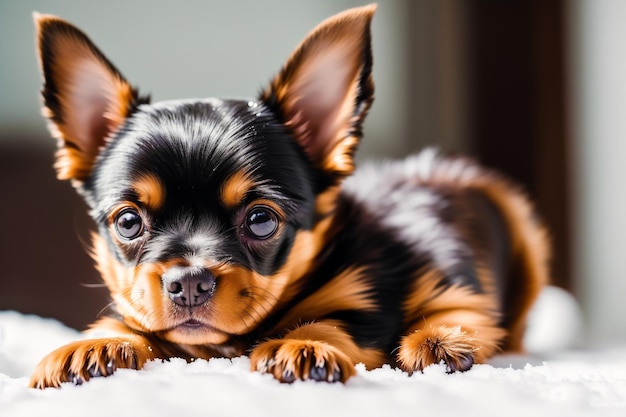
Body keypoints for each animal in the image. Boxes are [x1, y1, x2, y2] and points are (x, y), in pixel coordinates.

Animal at [29, 4, 544, 386]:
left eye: (261, 220)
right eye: (128, 222)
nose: (189, 282)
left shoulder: (433, 289)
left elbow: (341, 316)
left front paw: (303, 343)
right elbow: (137, 322)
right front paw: (92, 343)